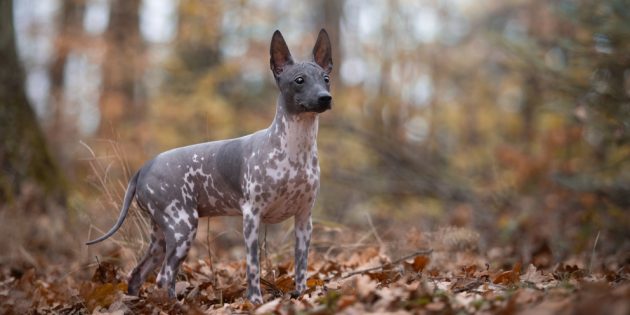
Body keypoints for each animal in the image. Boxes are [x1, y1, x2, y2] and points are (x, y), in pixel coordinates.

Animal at [89, 29, 336, 304]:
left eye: (326, 78)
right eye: (299, 80)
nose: (325, 98)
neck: (294, 149)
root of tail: (144, 167)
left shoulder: (304, 219)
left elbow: (301, 267)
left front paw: (303, 297)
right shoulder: (251, 217)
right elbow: (253, 267)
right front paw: (255, 302)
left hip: (162, 236)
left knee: (137, 275)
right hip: (183, 227)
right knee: (164, 276)